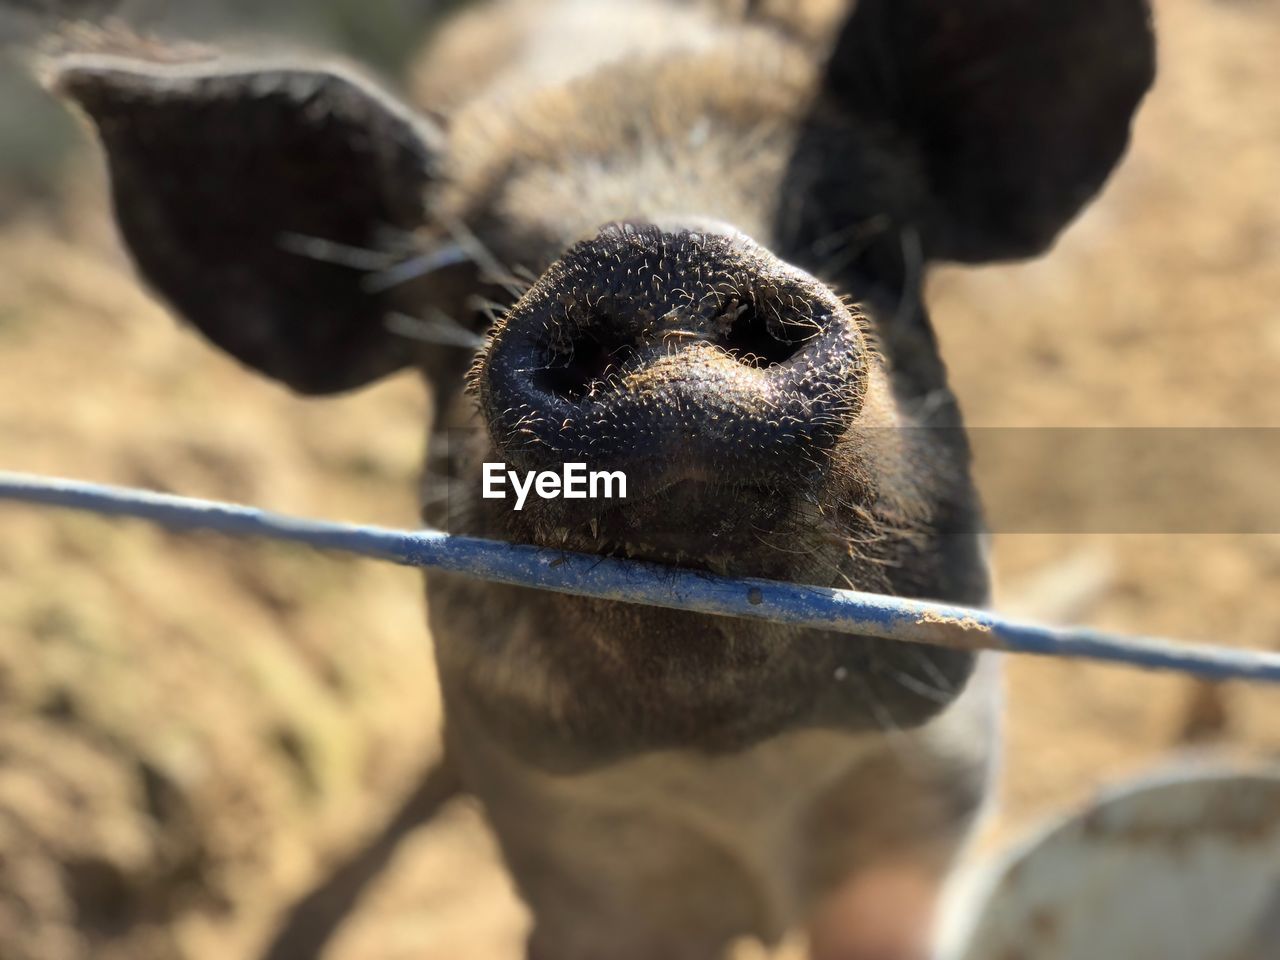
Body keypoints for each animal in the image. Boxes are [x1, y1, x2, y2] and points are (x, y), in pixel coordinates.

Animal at [47, 3, 1162, 957]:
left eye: (872, 249)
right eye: (472, 303)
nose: (655, 251)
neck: (749, 785)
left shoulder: (920, 825)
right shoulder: (575, 881)